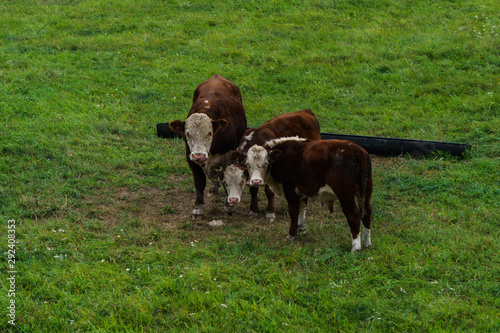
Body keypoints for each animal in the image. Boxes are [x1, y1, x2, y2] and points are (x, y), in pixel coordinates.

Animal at [169, 75, 247, 218]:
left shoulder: (229, 156)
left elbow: (227, 178)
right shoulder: (190, 157)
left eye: (210, 133)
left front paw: (229, 206)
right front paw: (198, 208)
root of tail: (217, 76)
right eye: (187, 134)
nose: (199, 156)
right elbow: (199, 182)